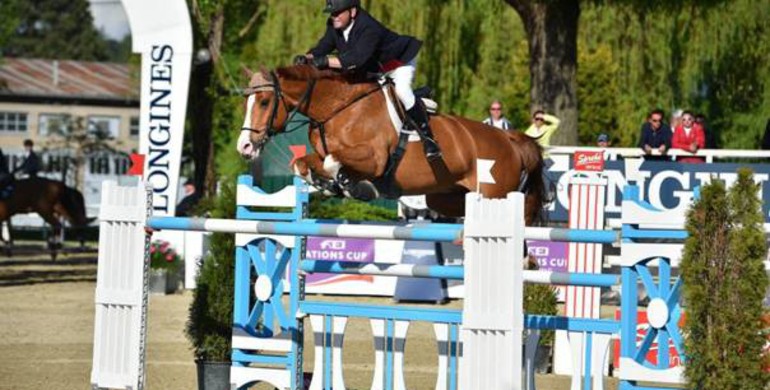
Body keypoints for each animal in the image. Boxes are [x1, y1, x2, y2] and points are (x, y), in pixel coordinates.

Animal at [234, 65, 544, 224]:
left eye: (264, 102)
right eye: (246, 101)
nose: (245, 147)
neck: (337, 108)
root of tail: (509, 140)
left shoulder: (374, 159)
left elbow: (334, 162)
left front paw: (356, 187)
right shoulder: (320, 154)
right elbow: (303, 163)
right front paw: (326, 184)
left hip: (495, 194)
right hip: (446, 195)